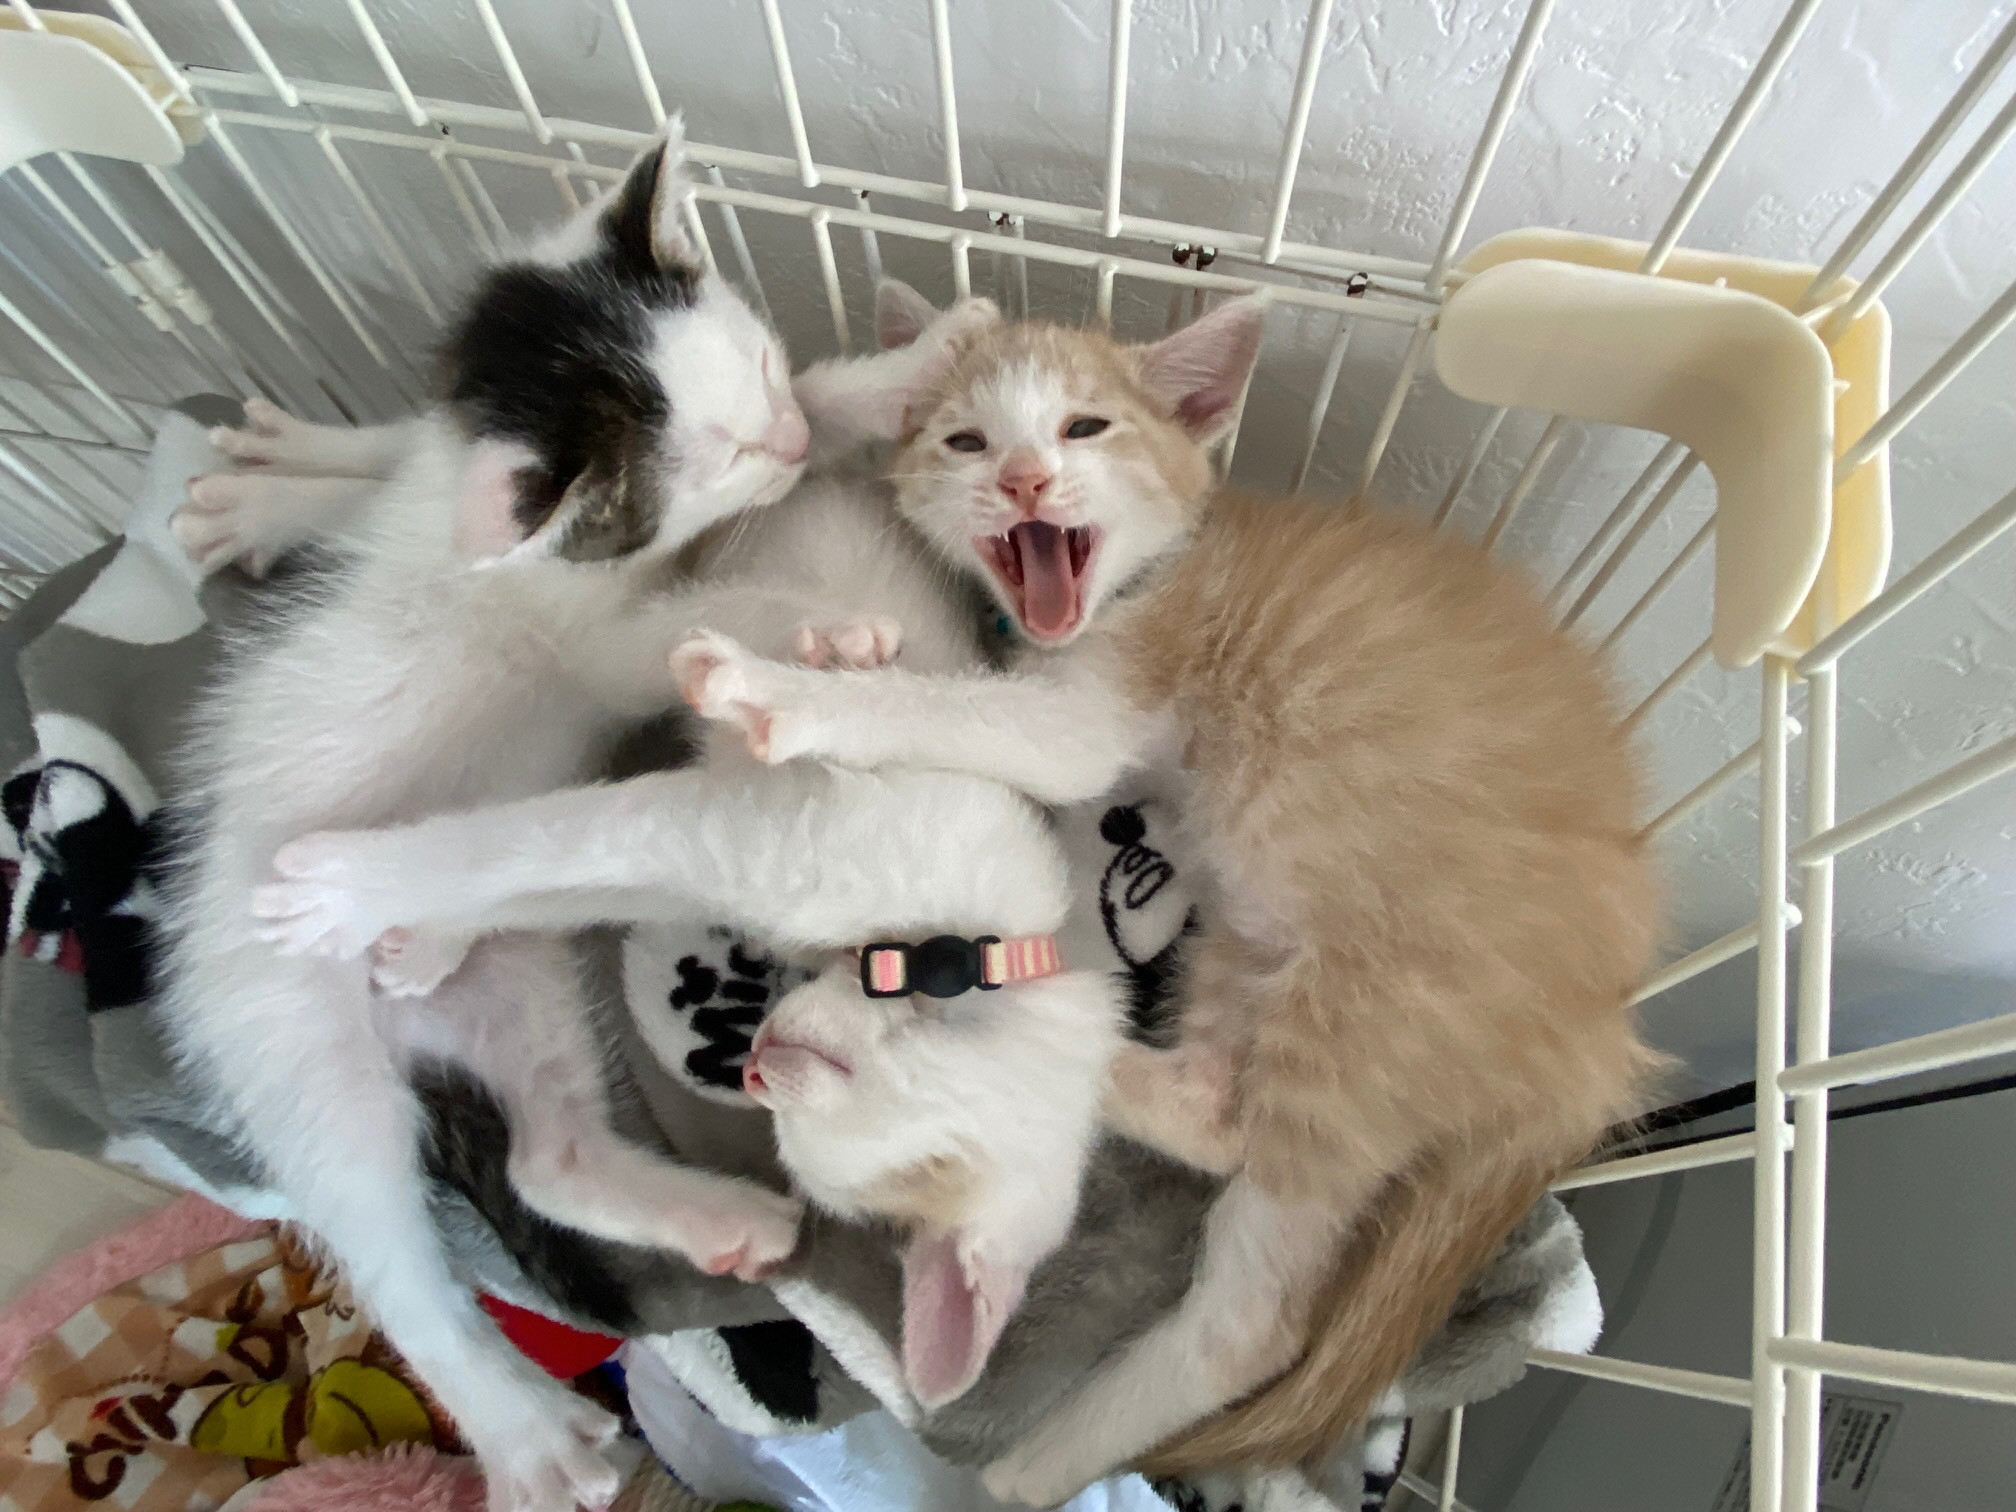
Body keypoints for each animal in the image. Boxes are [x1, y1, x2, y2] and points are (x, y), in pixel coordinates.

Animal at [157, 129, 845, 1512]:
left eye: (762, 363)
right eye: (735, 458)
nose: (800, 429)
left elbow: (383, 458)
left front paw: (275, 481)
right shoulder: (581, 631)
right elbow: (671, 631)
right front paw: (799, 624)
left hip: (514, 977)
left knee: (545, 1154)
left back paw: (713, 1216)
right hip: (291, 1046)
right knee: (389, 1251)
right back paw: (524, 1432)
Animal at [649, 300, 1665, 1503]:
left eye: (1084, 427)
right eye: (965, 442)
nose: (1028, 479)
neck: (1146, 581)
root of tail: (1591, 1044)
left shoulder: (1097, 711)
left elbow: (958, 715)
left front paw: (785, 691)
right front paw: (839, 649)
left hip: (1371, 1018)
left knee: (1256, 1315)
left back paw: (1031, 1461)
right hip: (1248, 937)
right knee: (1220, 1126)